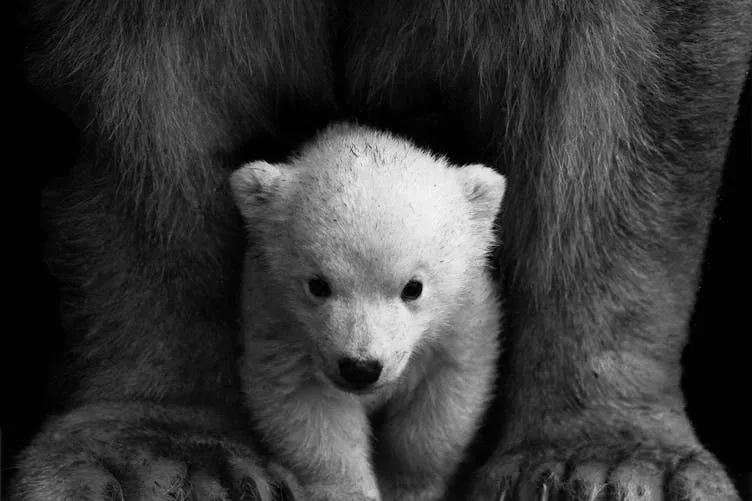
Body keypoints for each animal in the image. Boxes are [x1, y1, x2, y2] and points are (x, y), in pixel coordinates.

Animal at [229, 123, 505, 501]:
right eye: (318, 285)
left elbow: (439, 408)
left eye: (413, 287)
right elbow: (310, 413)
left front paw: (407, 487)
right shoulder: (278, 324)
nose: (360, 368)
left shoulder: (462, 321)